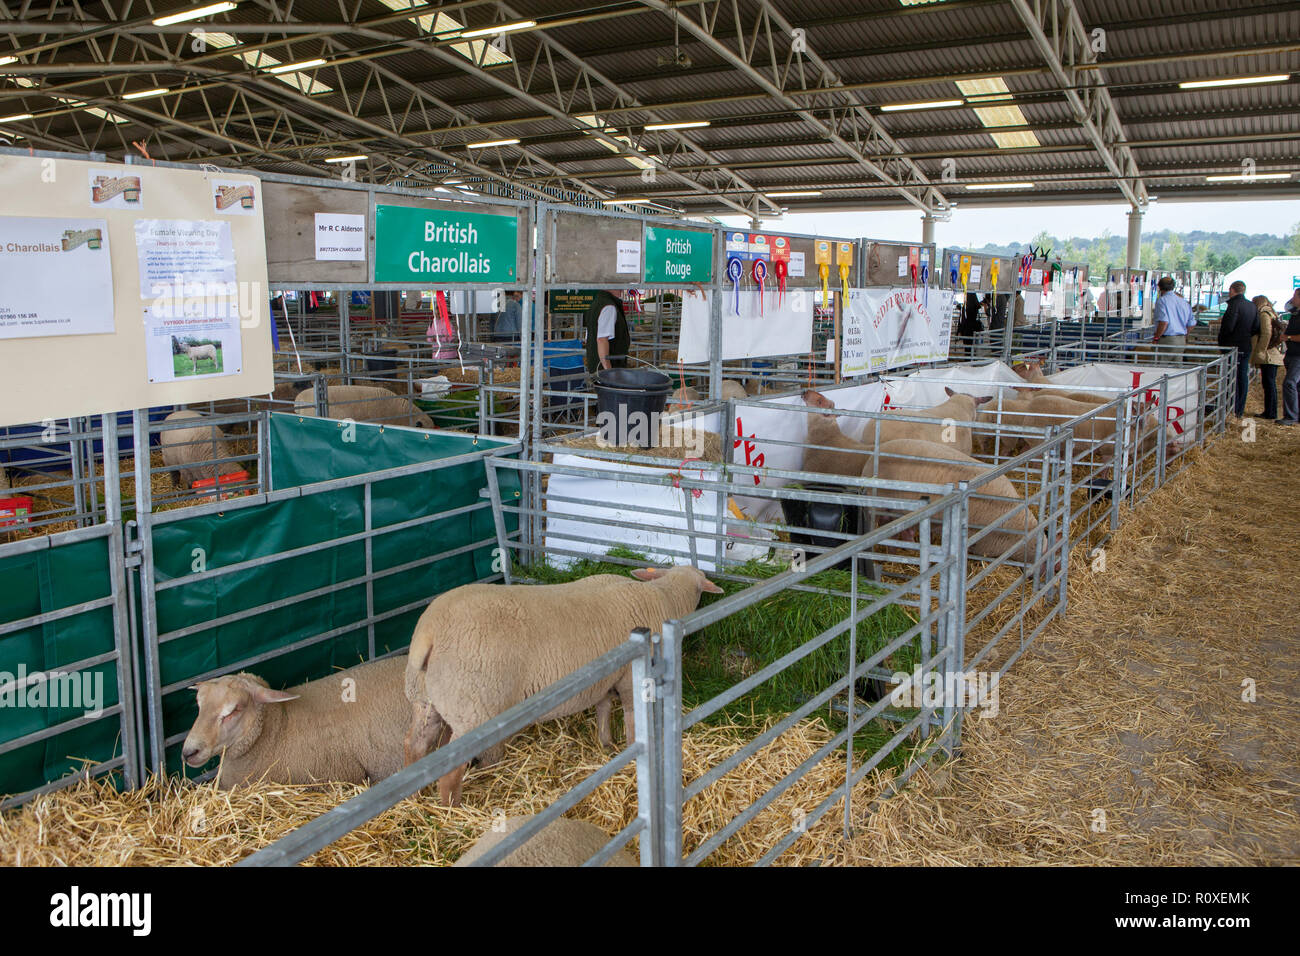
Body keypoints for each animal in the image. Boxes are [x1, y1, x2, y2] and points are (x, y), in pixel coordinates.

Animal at [403, 567, 722, 806]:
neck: (664, 596)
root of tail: (429, 633)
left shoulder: (602, 679)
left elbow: (603, 708)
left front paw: (606, 743)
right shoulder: (629, 680)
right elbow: (632, 718)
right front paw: (632, 752)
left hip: (426, 699)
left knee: (414, 745)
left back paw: (415, 799)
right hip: (472, 706)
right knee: (450, 770)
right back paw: (451, 809)